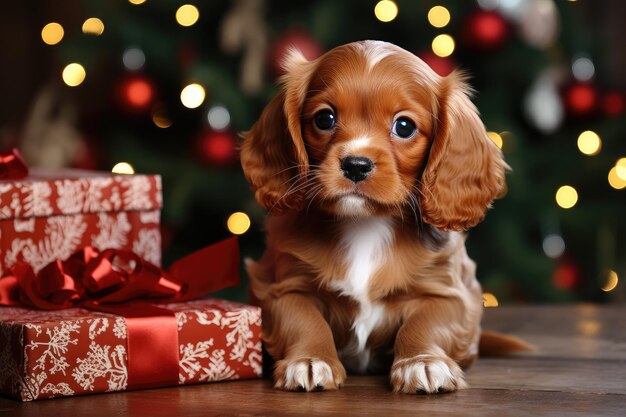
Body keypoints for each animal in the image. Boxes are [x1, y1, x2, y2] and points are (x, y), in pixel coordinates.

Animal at [239, 41, 508, 394]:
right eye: (324, 119)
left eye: (404, 126)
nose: (355, 165)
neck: (365, 224)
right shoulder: (282, 287)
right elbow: (303, 321)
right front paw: (310, 361)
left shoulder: (446, 293)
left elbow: (425, 325)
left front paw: (423, 362)